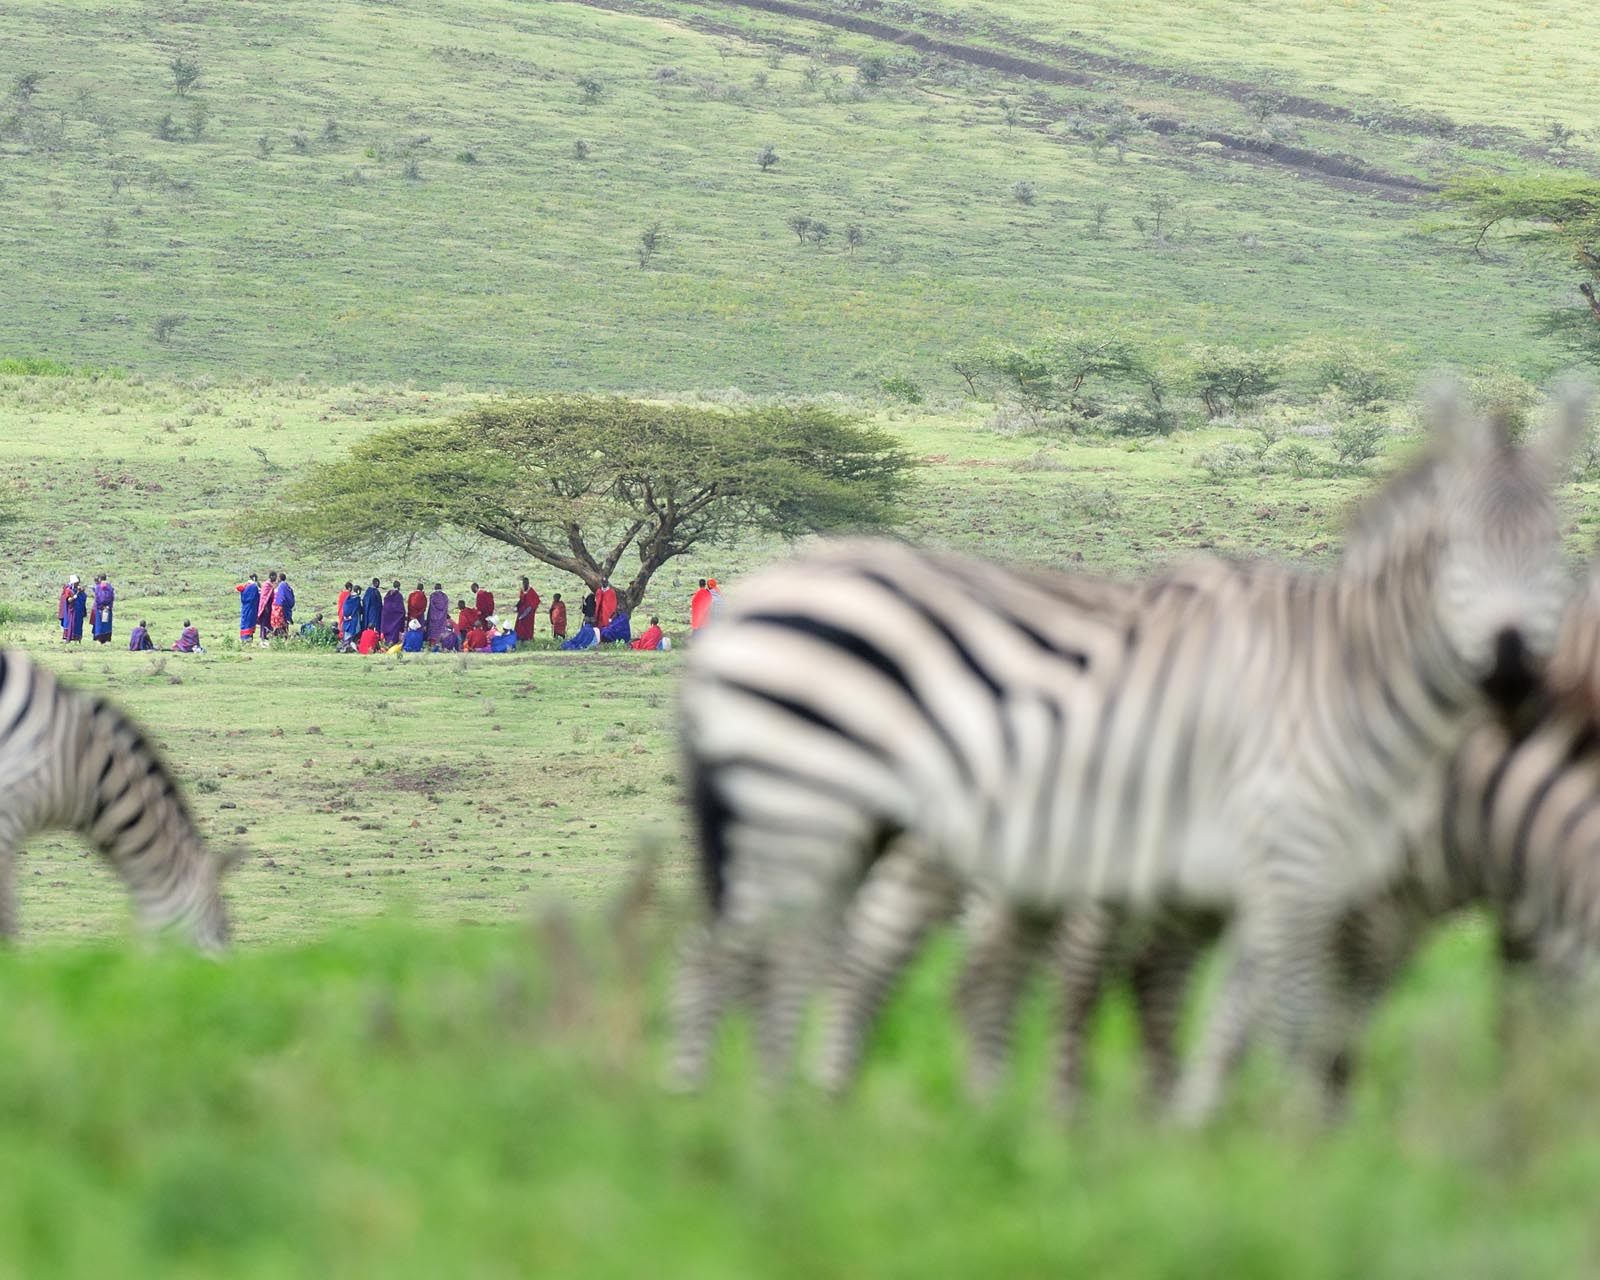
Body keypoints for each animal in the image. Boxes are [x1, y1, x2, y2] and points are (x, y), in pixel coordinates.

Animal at [672, 386, 1585, 1111]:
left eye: (1557, 554)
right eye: (1456, 553)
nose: (1514, 673)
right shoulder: (1296, 864)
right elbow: (1278, 1010)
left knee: (880, 959)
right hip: (815, 804)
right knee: (767, 955)